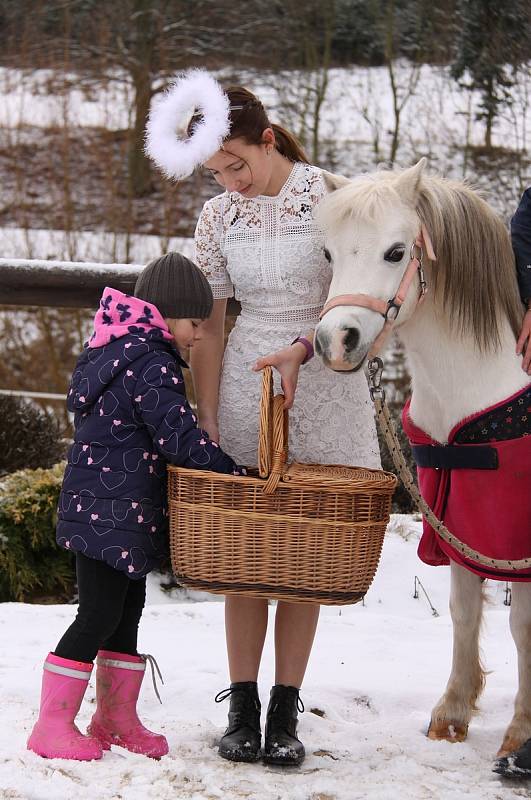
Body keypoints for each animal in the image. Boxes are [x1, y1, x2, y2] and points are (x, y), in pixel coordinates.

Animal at [314, 159, 531, 764]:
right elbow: (463, 610)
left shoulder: (515, 540)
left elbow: (522, 625)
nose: (336, 340)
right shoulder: (461, 523)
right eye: (329, 253)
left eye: (395, 252)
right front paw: (452, 713)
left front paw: (520, 733)